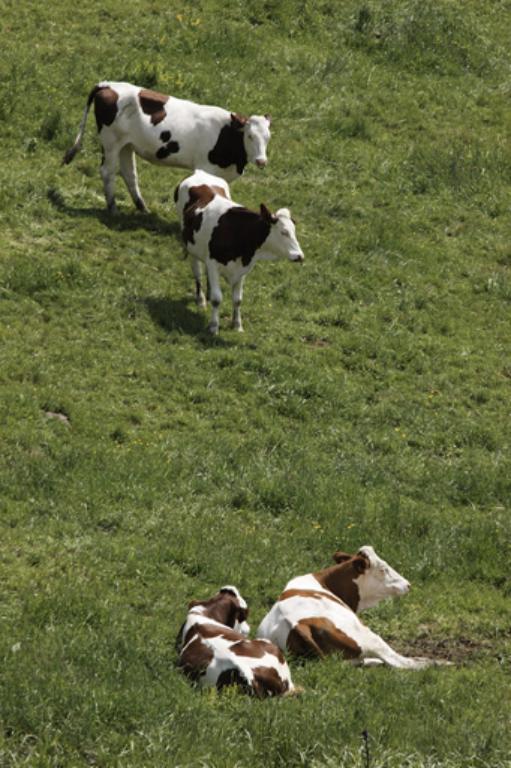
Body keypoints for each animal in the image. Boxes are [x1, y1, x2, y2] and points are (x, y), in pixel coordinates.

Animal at [63, 80, 272, 213]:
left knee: (129, 174)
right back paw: (113, 207)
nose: (262, 161)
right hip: (111, 143)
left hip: (126, 145)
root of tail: (107, 84)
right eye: (250, 136)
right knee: (107, 171)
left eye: (268, 138)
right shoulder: (205, 167)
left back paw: (142, 208)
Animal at [176, 171, 304, 332]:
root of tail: (200, 173)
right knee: (197, 273)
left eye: (294, 231)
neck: (238, 232)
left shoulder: (242, 269)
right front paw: (214, 326)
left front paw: (237, 325)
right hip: (191, 247)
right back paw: (201, 299)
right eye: (284, 232)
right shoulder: (213, 264)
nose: (300, 256)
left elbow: (237, 300)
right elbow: (217, 299)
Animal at [258, 544, 450, 664]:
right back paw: (435, 663)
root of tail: (298, 625)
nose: (408, 584)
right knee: (400, 662)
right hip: (368, 636)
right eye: (383, 569)